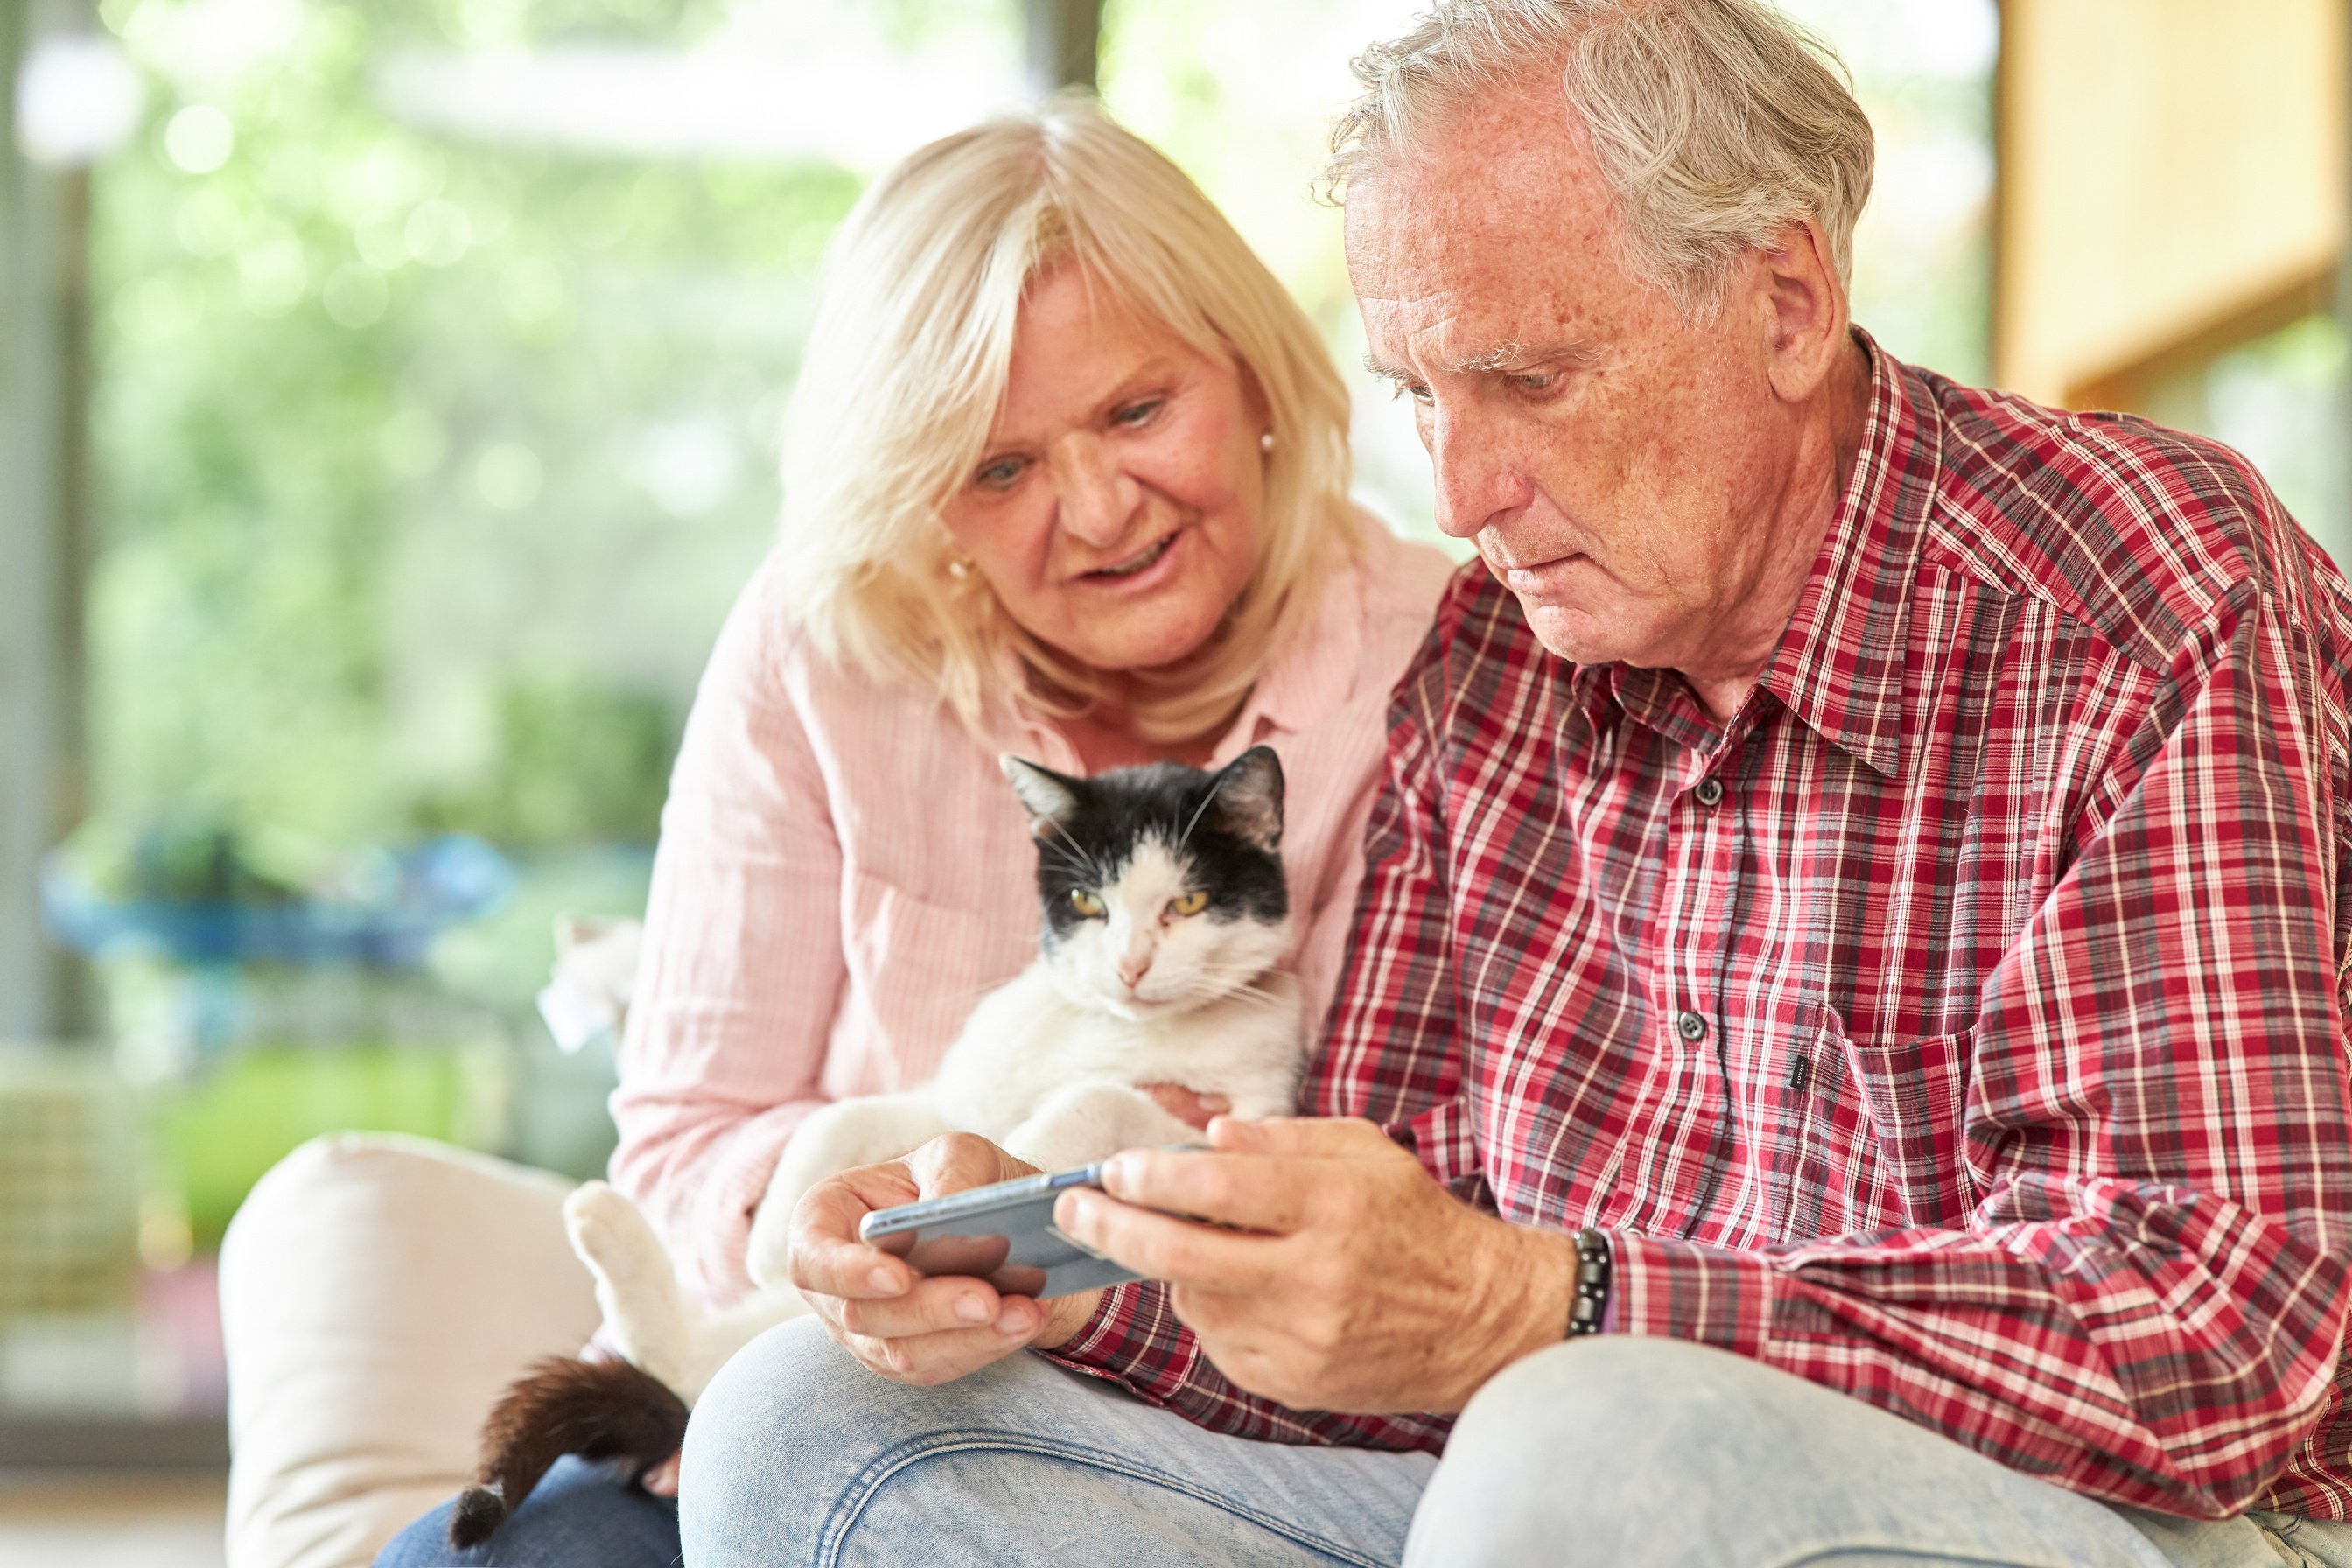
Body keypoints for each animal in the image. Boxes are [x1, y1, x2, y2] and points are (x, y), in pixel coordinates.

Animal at [449, 747, 1317, 1542]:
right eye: (1088, 902)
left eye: (1189, 903)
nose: (1131, 967)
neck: (1108, 1027)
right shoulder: (950, 1096)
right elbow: (841, 1117)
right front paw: (770, 1236)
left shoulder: (1243, 1131)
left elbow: (1097, 1097)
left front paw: (1023, 1160)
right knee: (676, 1359)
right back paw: (605, 1224)